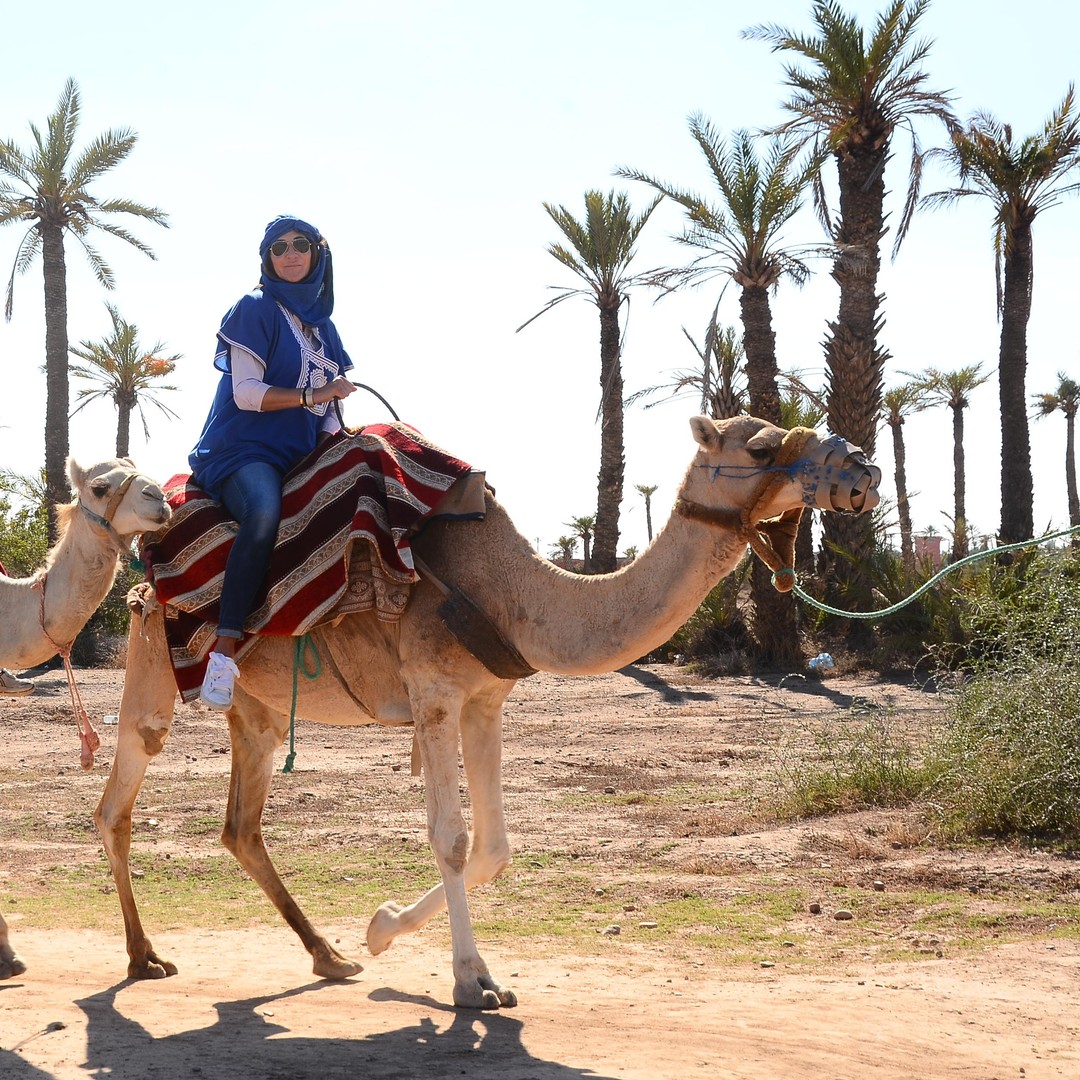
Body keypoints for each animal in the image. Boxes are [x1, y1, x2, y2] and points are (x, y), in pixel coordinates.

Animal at [95, 416, 880, 1008]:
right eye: (761, 447)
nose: (863, 469)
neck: (511, 592)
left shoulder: (484, 701)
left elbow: (496, 847)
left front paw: (381, 929)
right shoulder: (435, 693)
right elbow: (450, 837)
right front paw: (472, 983)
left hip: (256, 708)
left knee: (240, 825)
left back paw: (329, 956)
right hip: (151, 661)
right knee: (119, 798)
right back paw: (142, 957)